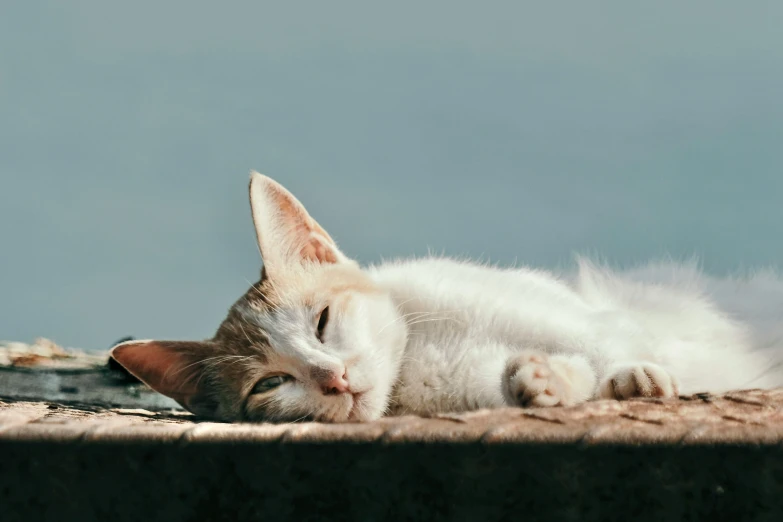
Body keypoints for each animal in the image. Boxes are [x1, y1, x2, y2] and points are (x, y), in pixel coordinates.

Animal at [108, 173, 783, 420]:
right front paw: (544, 382)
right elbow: (554, 373)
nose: (334, 378)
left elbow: (603, 338)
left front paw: (632, 376)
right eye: (270, 383)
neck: (416, 359)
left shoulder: (572, 315)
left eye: (322, 320)